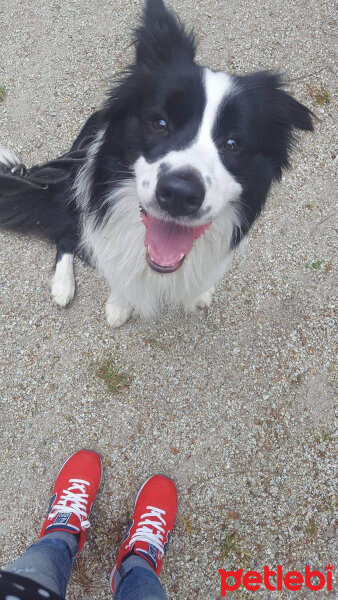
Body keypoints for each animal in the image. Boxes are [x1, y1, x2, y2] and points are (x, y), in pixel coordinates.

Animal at [0, 0, 312, 326]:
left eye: (233, 144)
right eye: (160, 123)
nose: (179, 194)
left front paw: (200, 293)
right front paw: (119, 305)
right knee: (65, 235)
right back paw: (63, 286)